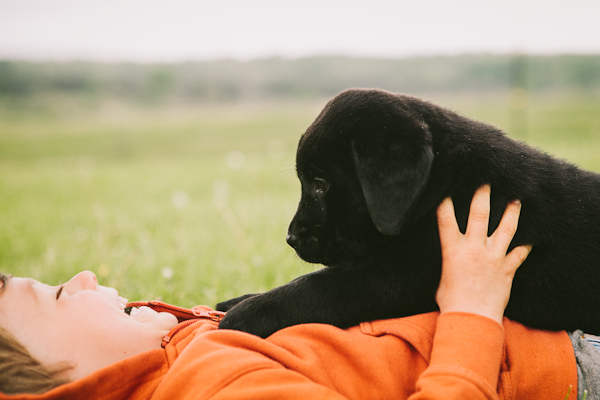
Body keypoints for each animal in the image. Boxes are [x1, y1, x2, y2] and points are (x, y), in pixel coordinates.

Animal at [218, 88, 600, 338]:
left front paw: (249, 313)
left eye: (320, 183)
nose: (291, 238)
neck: (444, 186)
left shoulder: (399, 275)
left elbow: (318, 286)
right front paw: (239, 299)